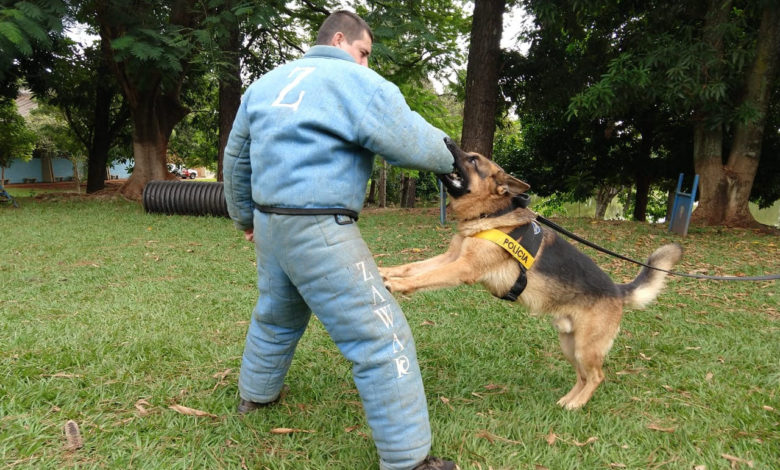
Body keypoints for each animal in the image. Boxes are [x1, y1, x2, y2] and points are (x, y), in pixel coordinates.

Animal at [380, 138, 684, 410]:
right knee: (583, 376)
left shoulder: (461, 267)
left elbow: (423, 277)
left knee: (597, 376)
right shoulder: (450, 258)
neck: (492, 214)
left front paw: (396, 284)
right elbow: (413, 266)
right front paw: (386, 271)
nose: (445, 139)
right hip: (569, 345)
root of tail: (618, 291)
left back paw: (577, 404)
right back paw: (568, 401)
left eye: (474, 160)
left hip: (585, 348)